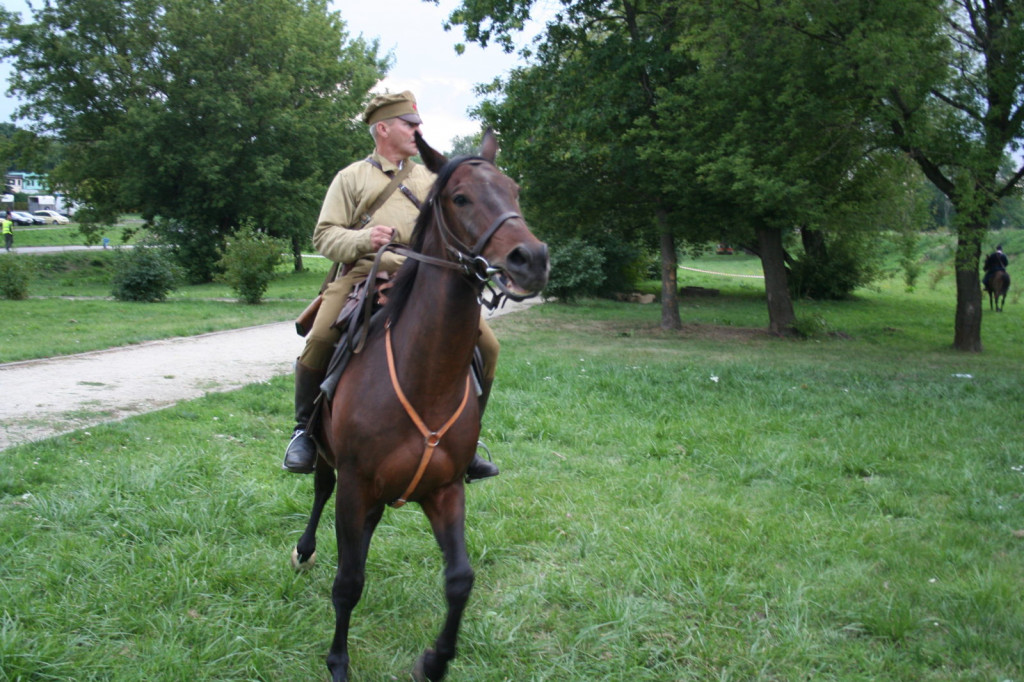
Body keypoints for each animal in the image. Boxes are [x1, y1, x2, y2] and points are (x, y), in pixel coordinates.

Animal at [288, 129, 548, 679]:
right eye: (461, 197)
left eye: (514, 191)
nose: (532, 259)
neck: (423, 376)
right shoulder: (356, 484)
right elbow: (349, 582)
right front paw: (338, 662)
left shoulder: (445, 489)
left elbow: (460, 579)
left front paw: (434, 660)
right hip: (329, 460)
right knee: (321, 491)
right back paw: (304, 550)